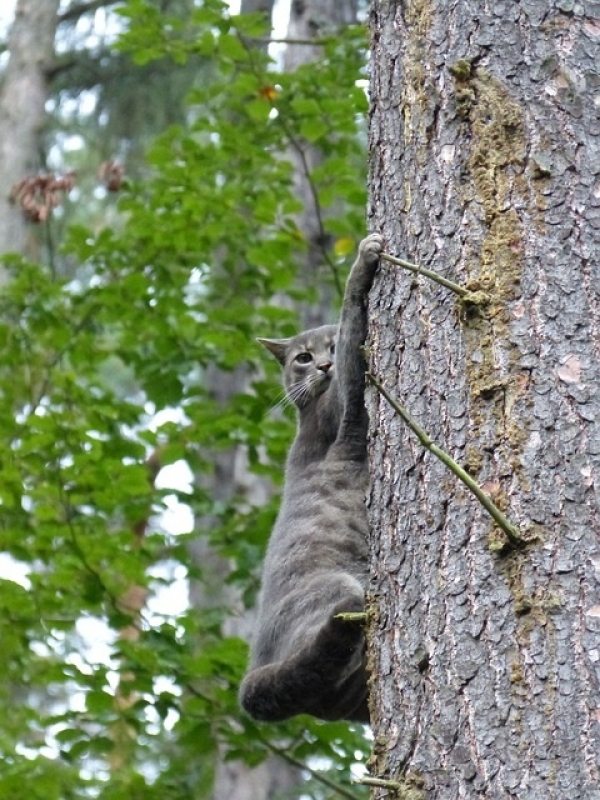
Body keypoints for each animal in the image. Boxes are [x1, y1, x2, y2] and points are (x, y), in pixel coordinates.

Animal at [238, 233, 382, 724]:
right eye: (303, 357)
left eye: (324, 350)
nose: (322, 365)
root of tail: (253, 682)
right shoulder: (345, 403)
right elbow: (352, 316)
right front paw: (364, 257)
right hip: (337, 589)